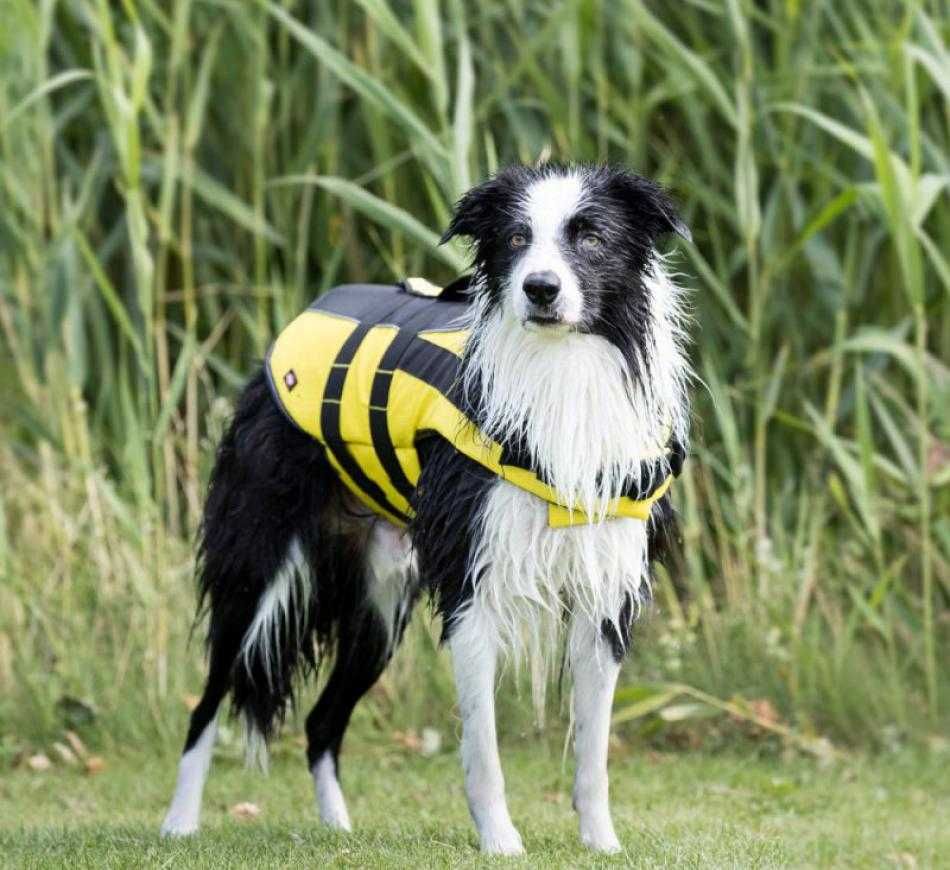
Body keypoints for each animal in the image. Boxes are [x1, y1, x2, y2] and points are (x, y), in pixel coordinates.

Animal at [162, 165, 692, 860]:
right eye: (516, 238)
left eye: (591, 238)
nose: (540, 288)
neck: (560, 372)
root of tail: (287, 336)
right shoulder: (473, 590)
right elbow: (484, 749)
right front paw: (501, 842)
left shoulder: (604, 598)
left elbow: (593, 754)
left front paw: (601, 843)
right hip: (256, 576)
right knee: (206, 705)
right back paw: (179, 824)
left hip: (379, 609)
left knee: (321, 722)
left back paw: (338, 832)